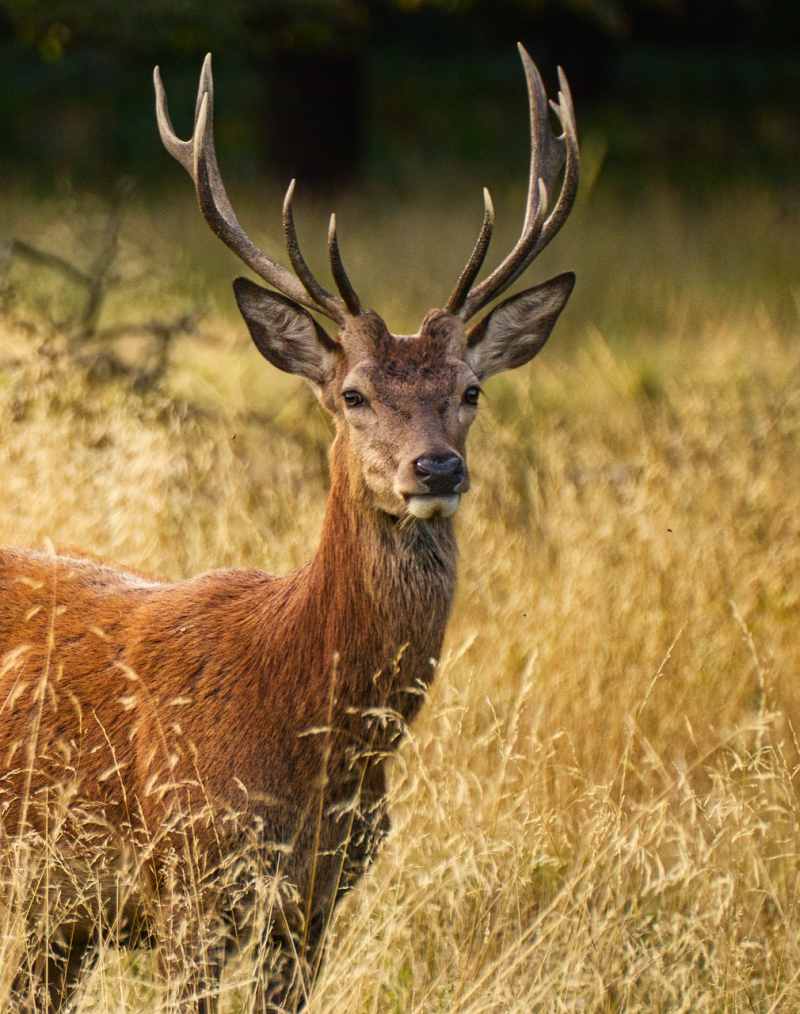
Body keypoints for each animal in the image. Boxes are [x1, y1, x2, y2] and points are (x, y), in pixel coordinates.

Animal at [0, 43, 575, 1014]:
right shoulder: (188, 879)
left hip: (55, 921)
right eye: (353, 394)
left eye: (471, 390)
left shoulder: (315, 902)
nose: (436, 469)